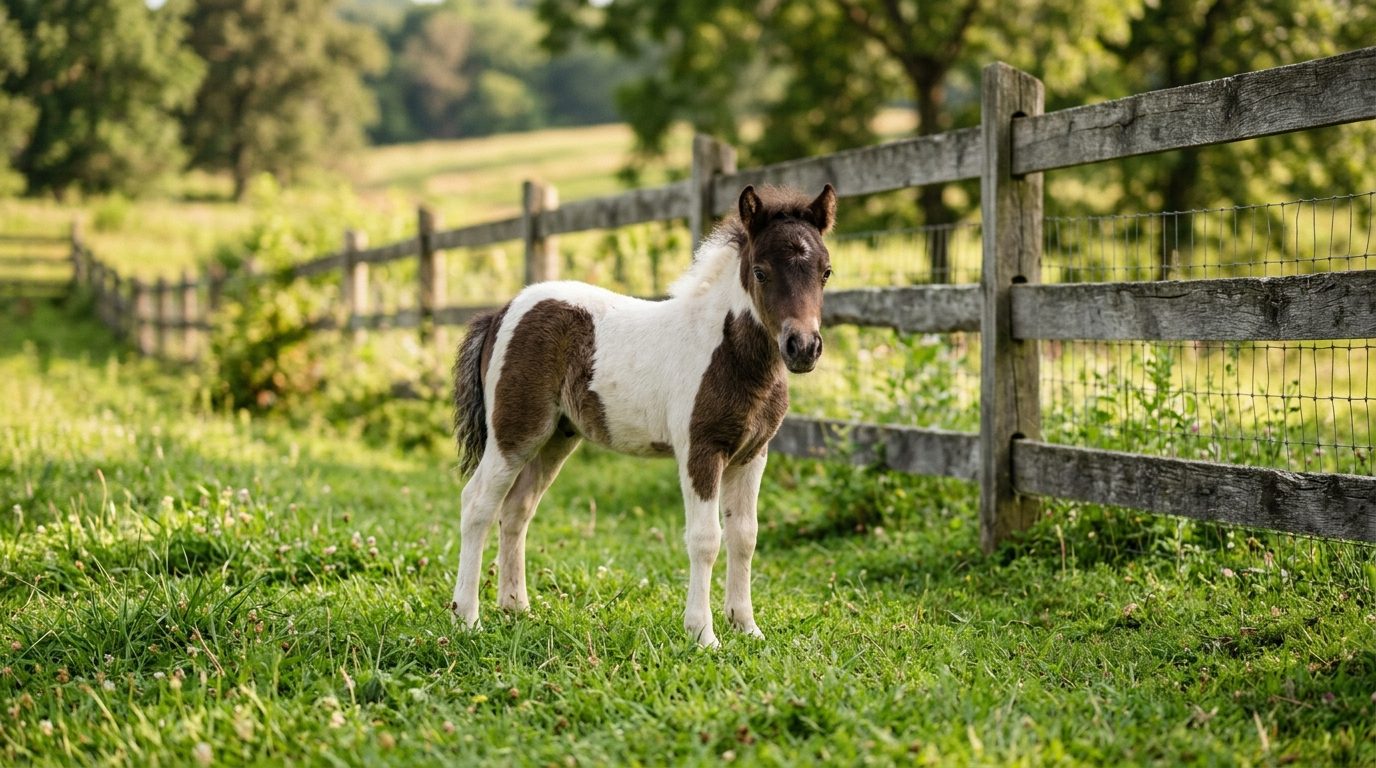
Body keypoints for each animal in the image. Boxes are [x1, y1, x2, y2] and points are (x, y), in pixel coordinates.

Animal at [449, 183, 836, 647]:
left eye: (826, 272)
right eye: (760, 272)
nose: (803, 347)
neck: (727, 353)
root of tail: (501, 312)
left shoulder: (752, 454)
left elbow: (745, 536)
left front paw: (747, 628)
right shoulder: (700, 451)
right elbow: (706, 538)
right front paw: (703, 634)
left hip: (556, 437)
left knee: (517, 509)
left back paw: (516, 608)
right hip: (514, 432)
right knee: (477, 504)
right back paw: (467, 618)